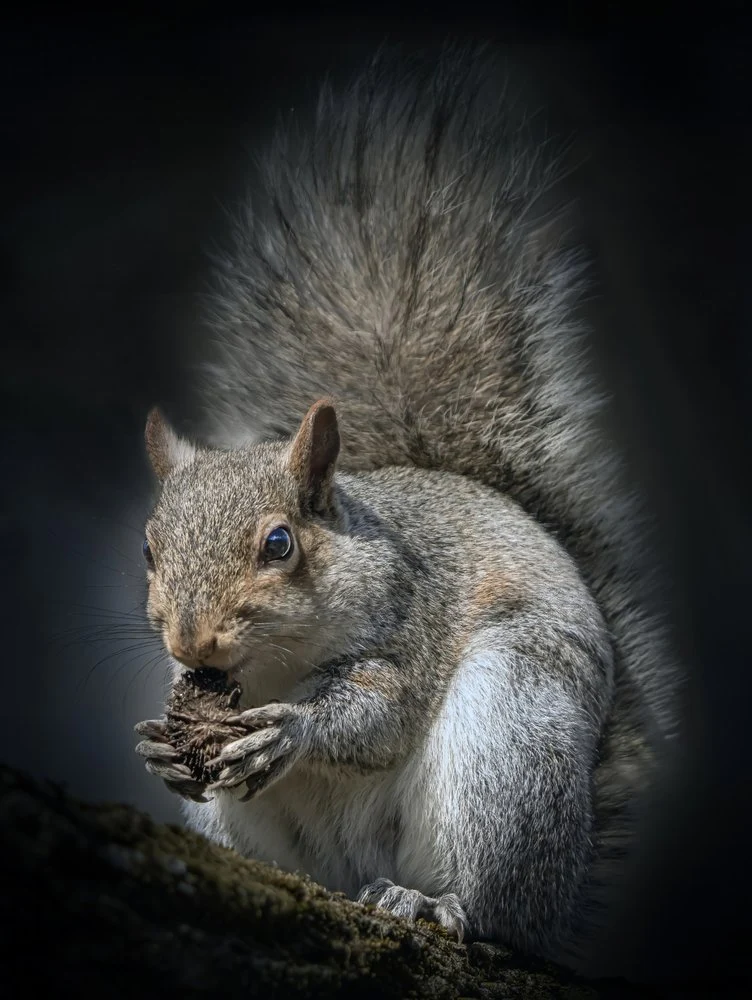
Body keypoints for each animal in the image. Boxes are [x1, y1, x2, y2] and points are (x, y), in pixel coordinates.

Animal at [134, 47, 677, 972]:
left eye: (280, 543)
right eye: (147, 551)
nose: (192, 643)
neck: (274, 665)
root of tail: (562, 892)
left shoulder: (408, 621)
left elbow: (379, 713)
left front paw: (294, 731)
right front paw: (158, 748)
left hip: (511, 734)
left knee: (495, 907)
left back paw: (436, 903)